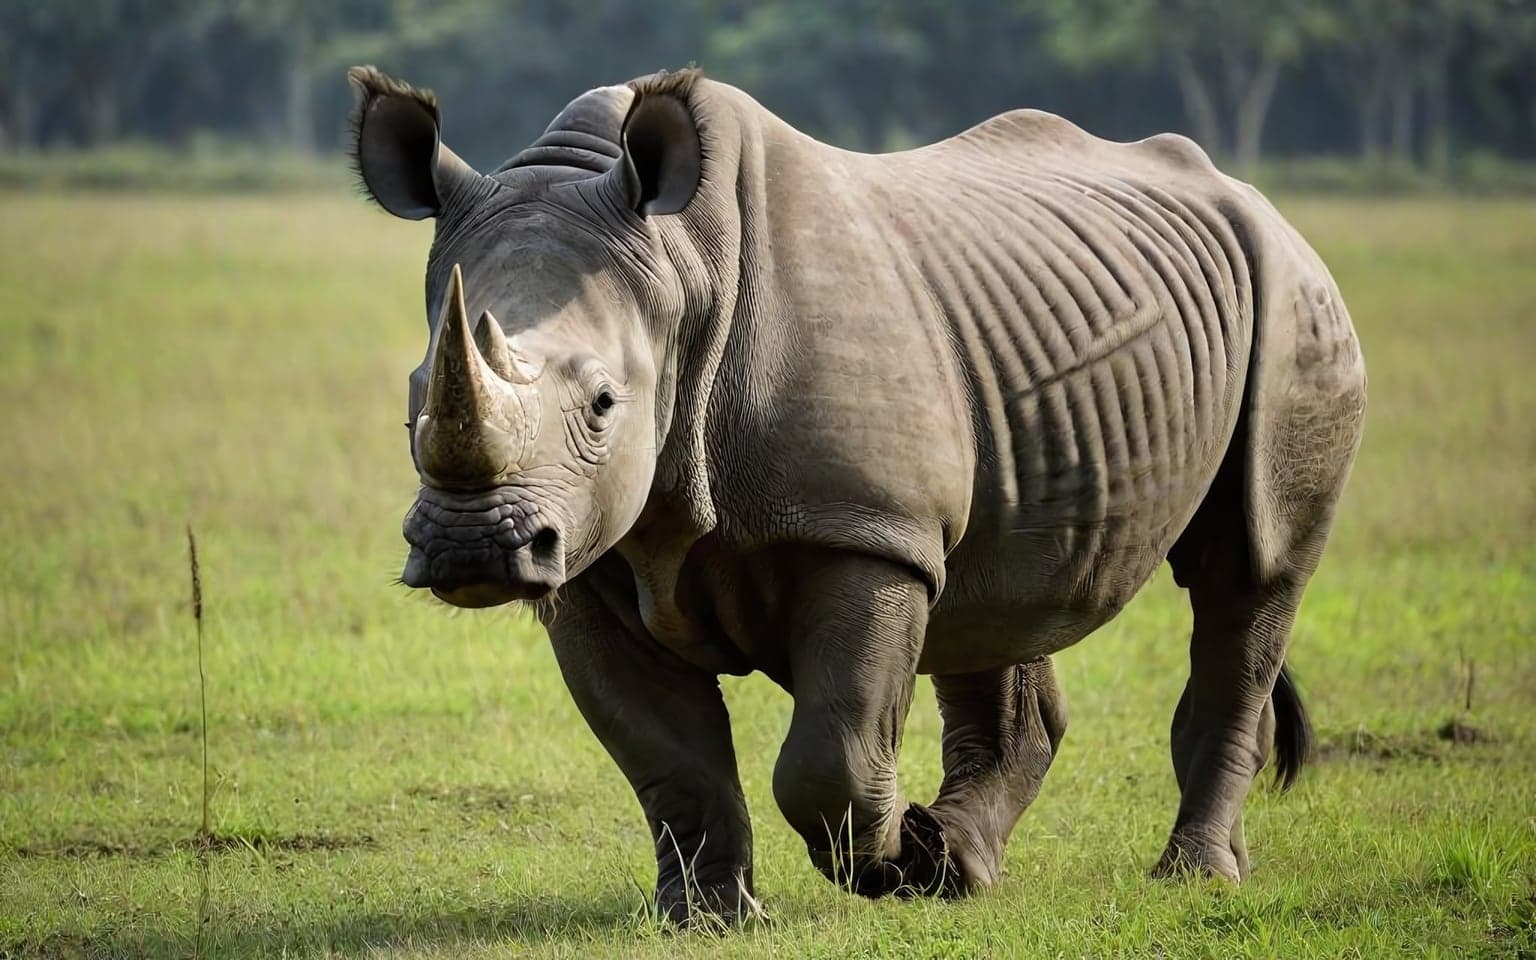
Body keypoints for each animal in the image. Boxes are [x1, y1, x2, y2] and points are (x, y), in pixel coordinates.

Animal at [347, 65, 1366, 921]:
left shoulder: (865, 531)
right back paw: (966, 866)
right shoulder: (590, 564)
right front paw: (712, 919)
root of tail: (1254, 200)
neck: (678, 271)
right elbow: (667, 761)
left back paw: (1187, 877)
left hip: (1299, 302)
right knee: (994, 589)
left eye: (604, 404)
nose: (473, 549)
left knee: (1251, 575)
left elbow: (829, 755)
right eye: (412, 401)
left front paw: (890, 865)